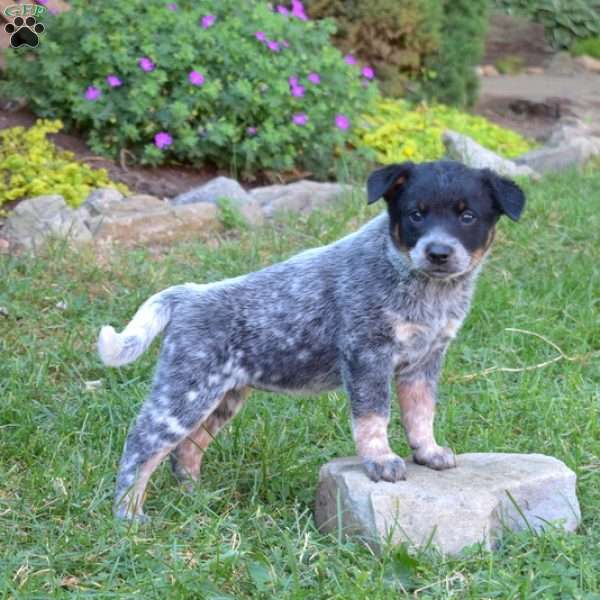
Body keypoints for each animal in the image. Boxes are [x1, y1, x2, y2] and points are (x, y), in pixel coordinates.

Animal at [98, 161, 524, 520]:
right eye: (415, 214)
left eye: (467, 216)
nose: (438, 252)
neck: (425, 290)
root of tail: (186, 295)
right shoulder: (367, 354)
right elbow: (374, 417)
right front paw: (381, 461)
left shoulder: (424, 362)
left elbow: (421, 414)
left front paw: (429, 452)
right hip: (185, 392)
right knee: (141, 444)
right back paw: (128, 515)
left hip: (223, 397)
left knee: (186, 449)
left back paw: (195, 497)